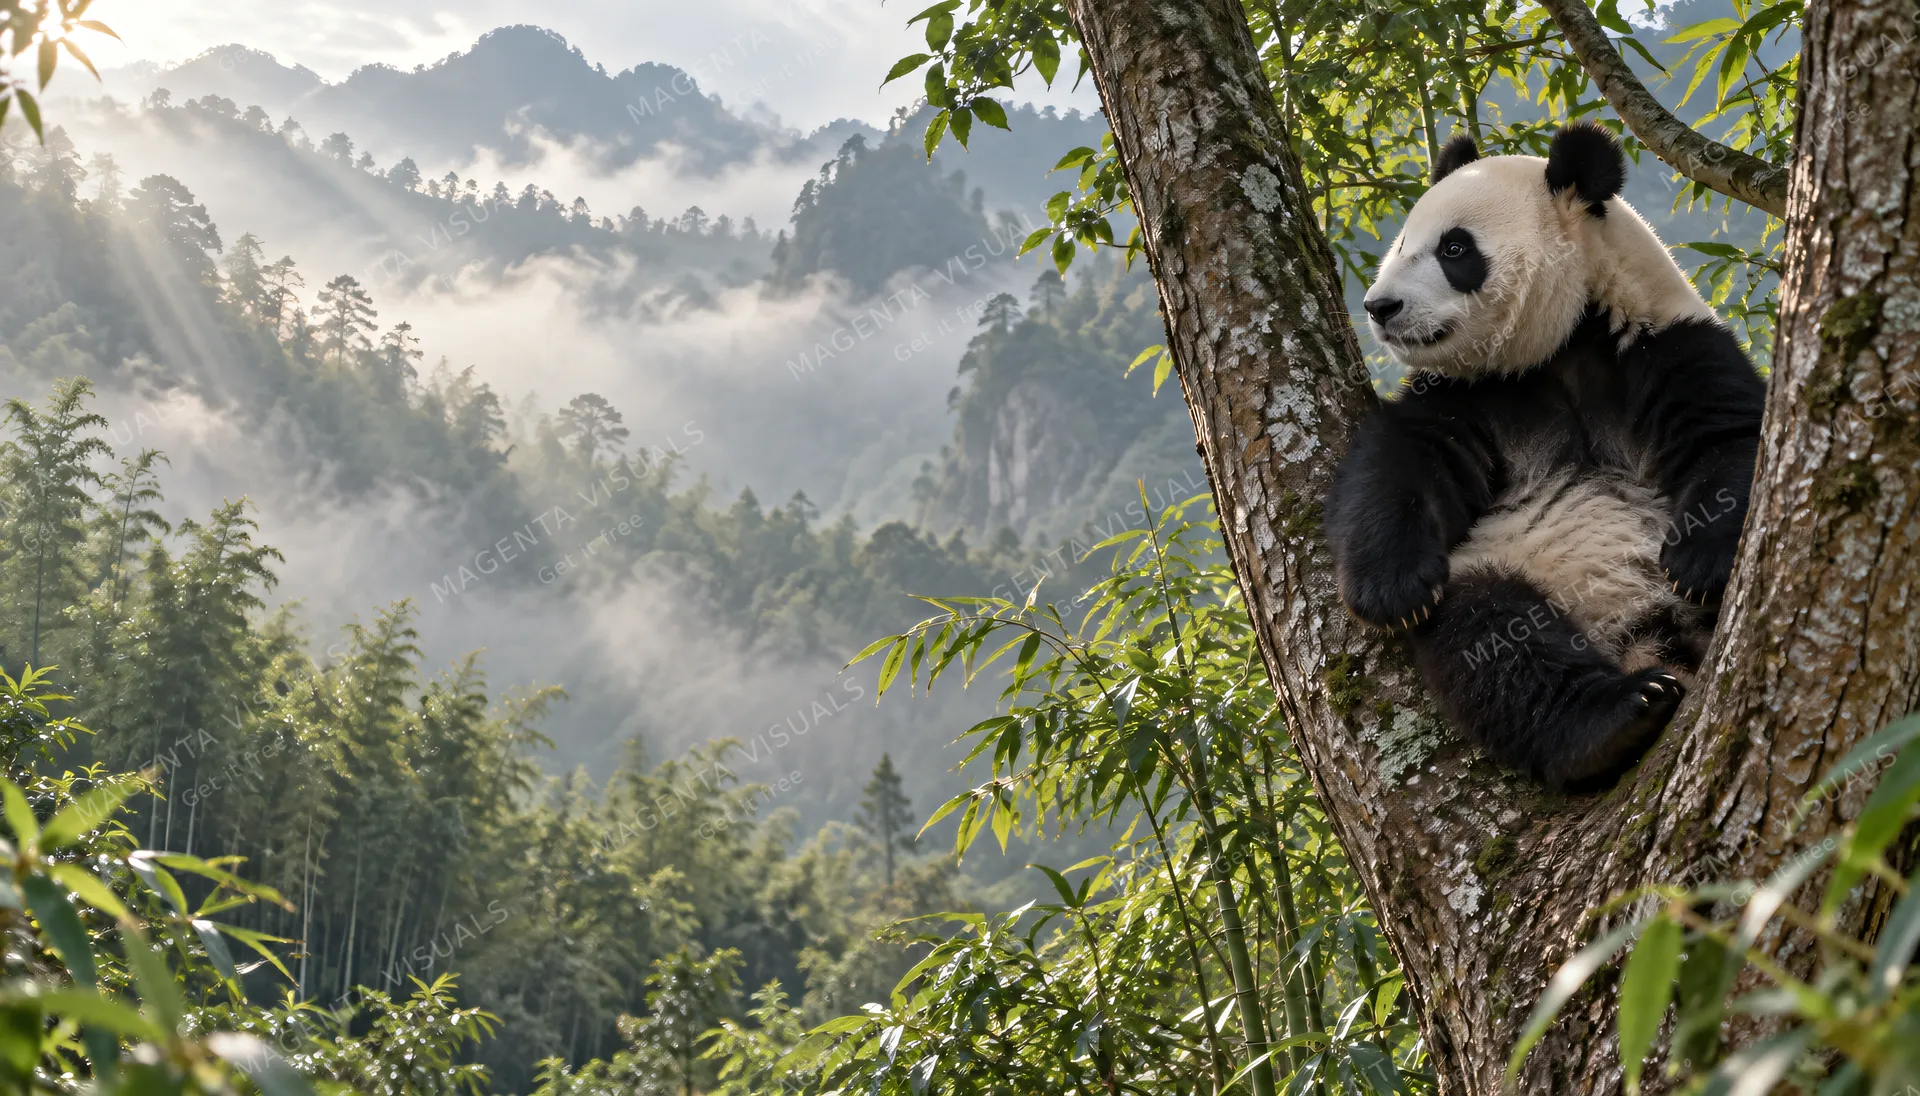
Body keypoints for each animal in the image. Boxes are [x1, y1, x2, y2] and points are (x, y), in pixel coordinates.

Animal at [1325, 123, 1765, 791]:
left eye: (1455, 249)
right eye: (1401, 242)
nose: (1381, 307)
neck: (1562, 344)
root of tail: (1638, 638)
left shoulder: (1665, 346)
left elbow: (1731, 437)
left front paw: (1698, 562)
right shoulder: (1470, 396)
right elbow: (1402, 464)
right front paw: (1392, 590)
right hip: (1509, 566)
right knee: (1493, 642)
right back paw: (1616, 718)